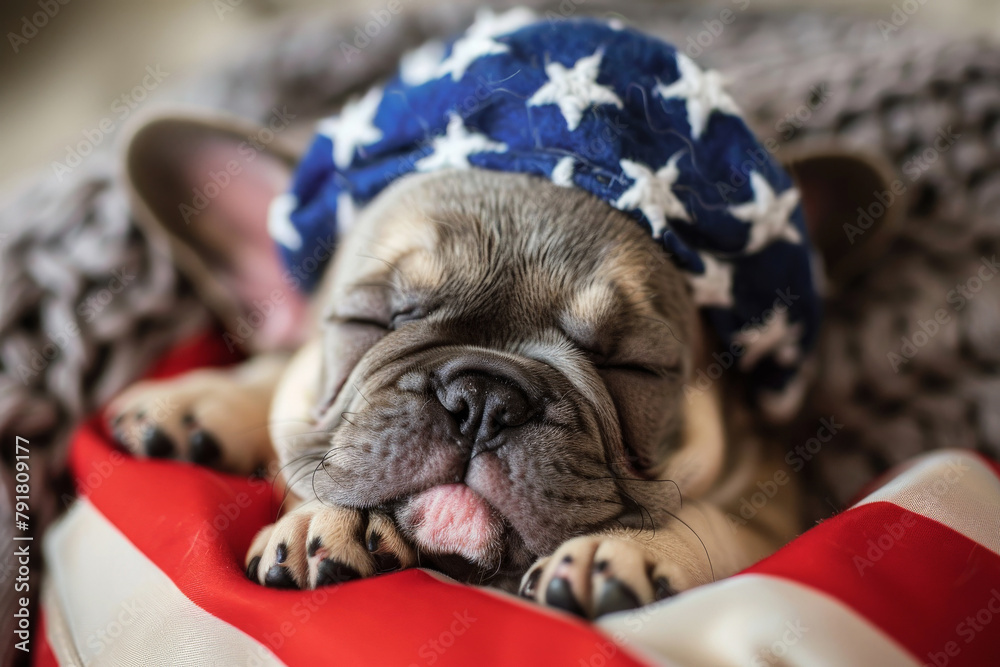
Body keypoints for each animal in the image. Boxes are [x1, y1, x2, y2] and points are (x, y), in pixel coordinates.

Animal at [105, 15, 896, 620]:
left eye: (634, 368)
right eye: (370, 321)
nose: (483, 396)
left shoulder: (777, 516)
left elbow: (707, 521)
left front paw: (631, 548)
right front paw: (215, 409)